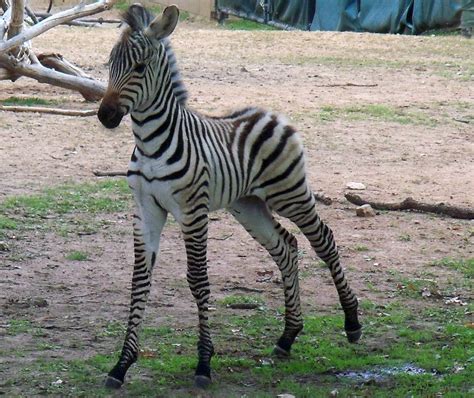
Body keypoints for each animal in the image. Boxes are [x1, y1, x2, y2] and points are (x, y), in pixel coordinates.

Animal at [97, 3, 362, 388]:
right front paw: (121, 365)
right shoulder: (146, 209)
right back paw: (287, 337)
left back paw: (352, 322)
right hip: (248, 205)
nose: (105, 115)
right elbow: (139, 281)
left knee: (324, 240)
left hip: (290, 193)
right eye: (109, 64)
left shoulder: (193, 211)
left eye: (139, 67)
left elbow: (198, 280)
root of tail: (272, 113)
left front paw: (204, 363)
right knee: (286, 246)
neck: (149, 144)